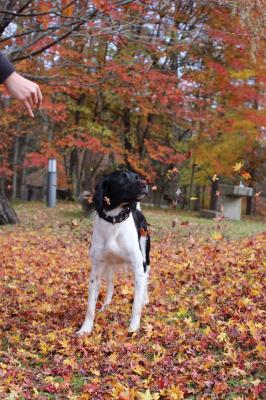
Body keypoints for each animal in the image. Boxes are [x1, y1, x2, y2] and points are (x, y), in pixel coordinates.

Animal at [78, 170, 151, 334]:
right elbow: (90, 306)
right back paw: (106, 306)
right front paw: (85, 329)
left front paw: (133, 328)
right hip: (108, 267)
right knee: (111, 286)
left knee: (146, 282)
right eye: (122, 178)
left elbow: (135, 306)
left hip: (146, 260)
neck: (114, 221)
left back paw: (145, 300)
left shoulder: (139, 267)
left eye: (137, 177)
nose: (144, 183)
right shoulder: (96, 270)